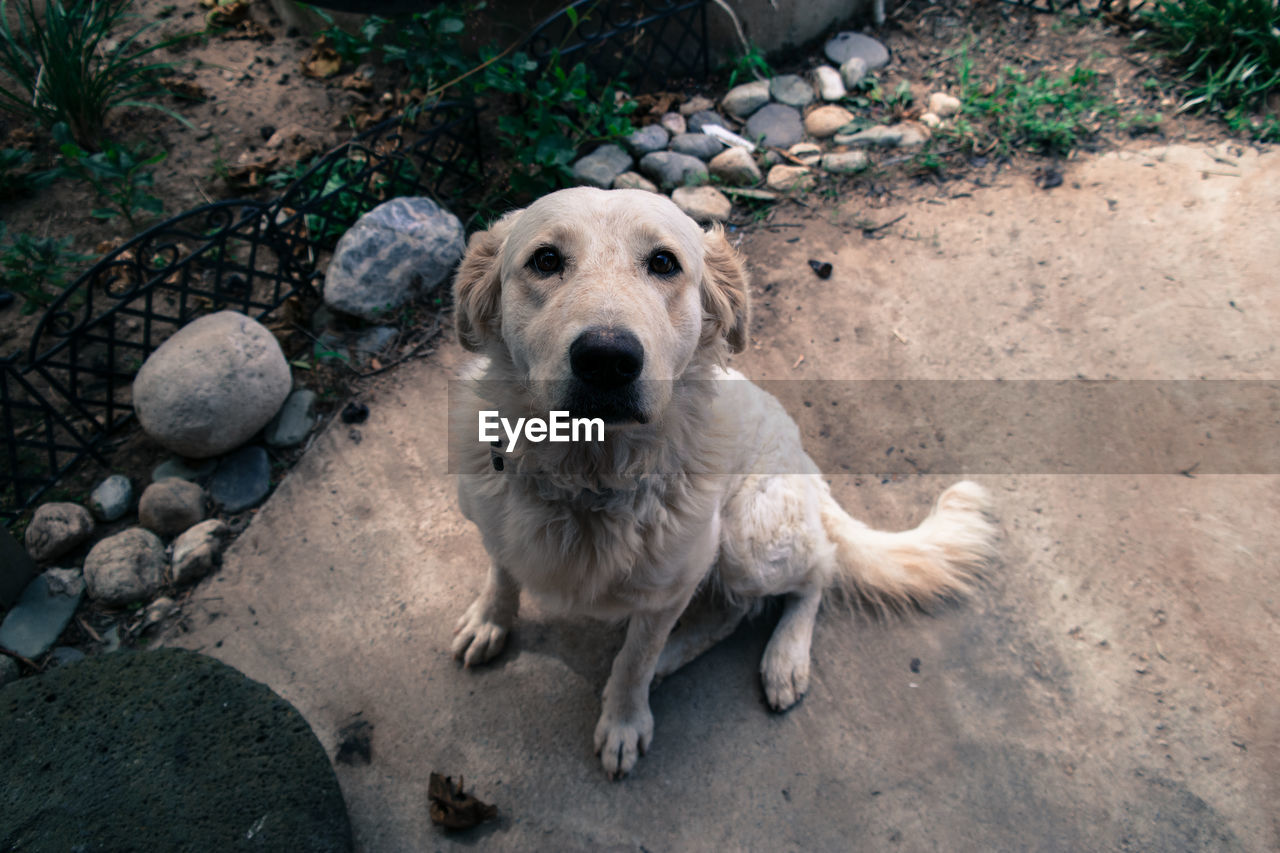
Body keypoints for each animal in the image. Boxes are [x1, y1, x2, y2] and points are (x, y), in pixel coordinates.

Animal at [450, 188, 998, 778]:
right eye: (546, 260)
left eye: (663, 262)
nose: (607, 359)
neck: (589, 478)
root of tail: (809, 468)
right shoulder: (495, 527)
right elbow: (503, 573)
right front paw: (489, 621)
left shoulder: (670, 589)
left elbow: (633, 661)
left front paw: (624, 720)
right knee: (729, 613)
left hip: (746, 542)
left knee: (817, 570)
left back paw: (783, 659)